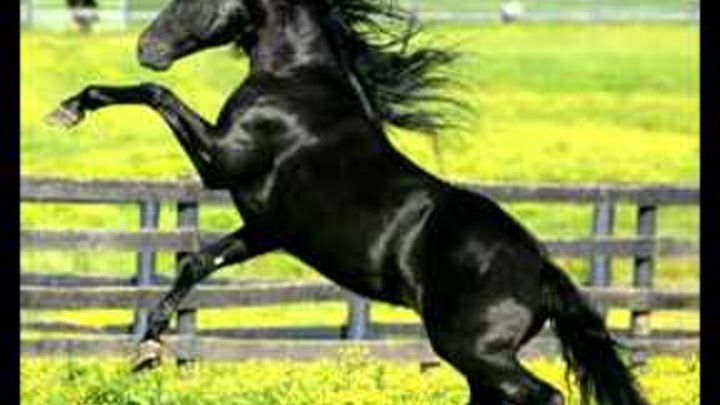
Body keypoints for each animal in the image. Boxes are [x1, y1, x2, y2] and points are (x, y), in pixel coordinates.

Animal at [46, 1, 648, 404]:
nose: (146, 48)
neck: (295, 82)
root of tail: (543, 271)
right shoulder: (264, 228)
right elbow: (197, 260)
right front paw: (149, 345)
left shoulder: (220, 161)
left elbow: (157, 95)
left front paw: (70, 108)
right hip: (479, 360)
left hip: (475, 350)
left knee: (543, 395)